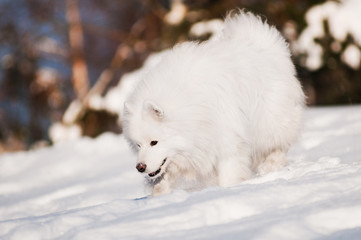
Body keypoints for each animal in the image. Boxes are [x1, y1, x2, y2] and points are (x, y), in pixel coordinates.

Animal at [121, 10, 304, 196]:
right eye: (138, 144)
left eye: (154, 142)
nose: (140, 167)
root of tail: (262, 43)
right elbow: (166, 177)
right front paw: (160, 193)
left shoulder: (228, 141)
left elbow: (229, 174)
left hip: (268, 121)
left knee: (278, 144)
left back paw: (270, 166)